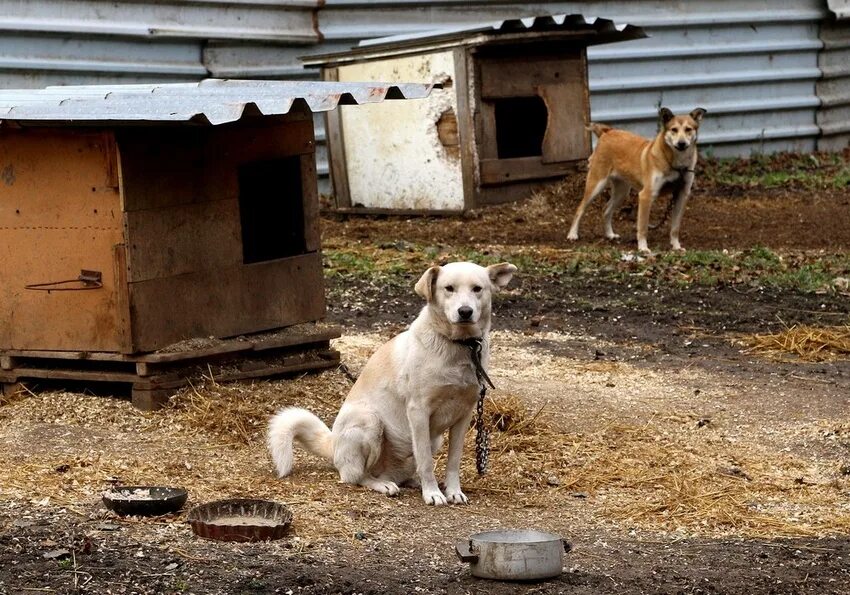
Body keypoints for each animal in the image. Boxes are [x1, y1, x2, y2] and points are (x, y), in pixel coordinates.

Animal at [268, 264, 512, 506]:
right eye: (448, 288)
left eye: (477, 289)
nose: (465, 311)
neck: (460, 346)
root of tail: (333, 444)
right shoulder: (418, 412)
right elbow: (426, 461)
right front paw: (432, 493)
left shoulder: (464, 415)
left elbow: (453, 461)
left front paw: (453, 491)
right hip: (370, 422)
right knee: (356, 476)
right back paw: (383, 484)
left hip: (434, 439)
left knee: (400, 473)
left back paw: (411, 481)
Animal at [568, 108, 704, 253]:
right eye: (674, 129)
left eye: (688, 129)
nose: (681, 143)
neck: (677, 164)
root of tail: (607, 132)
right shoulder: (646, 196)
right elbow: (643, 227)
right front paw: (643, 248)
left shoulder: (681, 195)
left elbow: (675, 227)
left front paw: (676, 246)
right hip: (596, 185)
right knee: (580, 208)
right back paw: (572, 234)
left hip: (622, 192)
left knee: (606, 210)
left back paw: (610, 234)